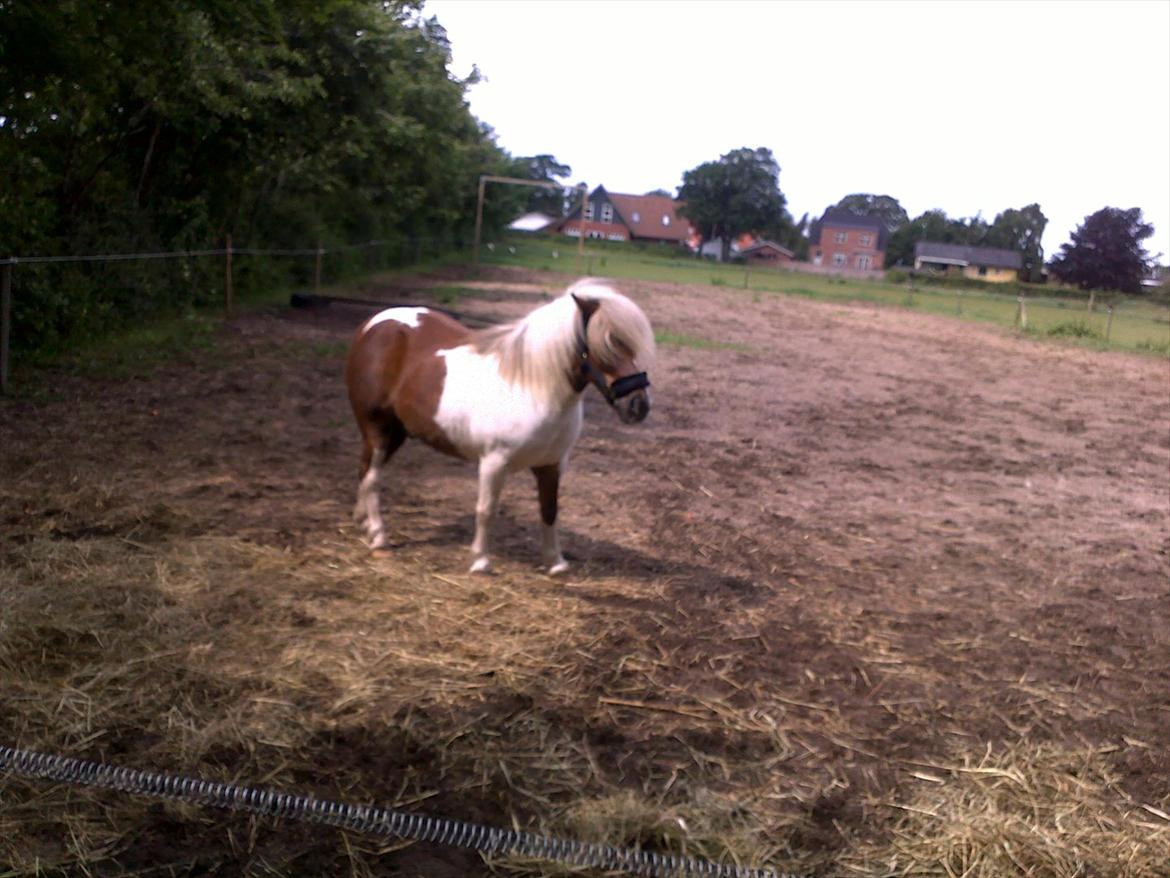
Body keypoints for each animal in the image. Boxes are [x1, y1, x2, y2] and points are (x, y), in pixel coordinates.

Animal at [343, 278, 659, 573]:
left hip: (396, 432)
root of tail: (372, 325)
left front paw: (555, 563)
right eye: (607, 344)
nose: (638, 406)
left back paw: (362, 522)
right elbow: (487, 510)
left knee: (363, 469)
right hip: (378, 429)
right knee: (372, 477)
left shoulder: (552, 464)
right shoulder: (494, 462)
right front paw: (481, 562)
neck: (533, 387)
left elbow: (549, 509)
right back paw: (379, 537)